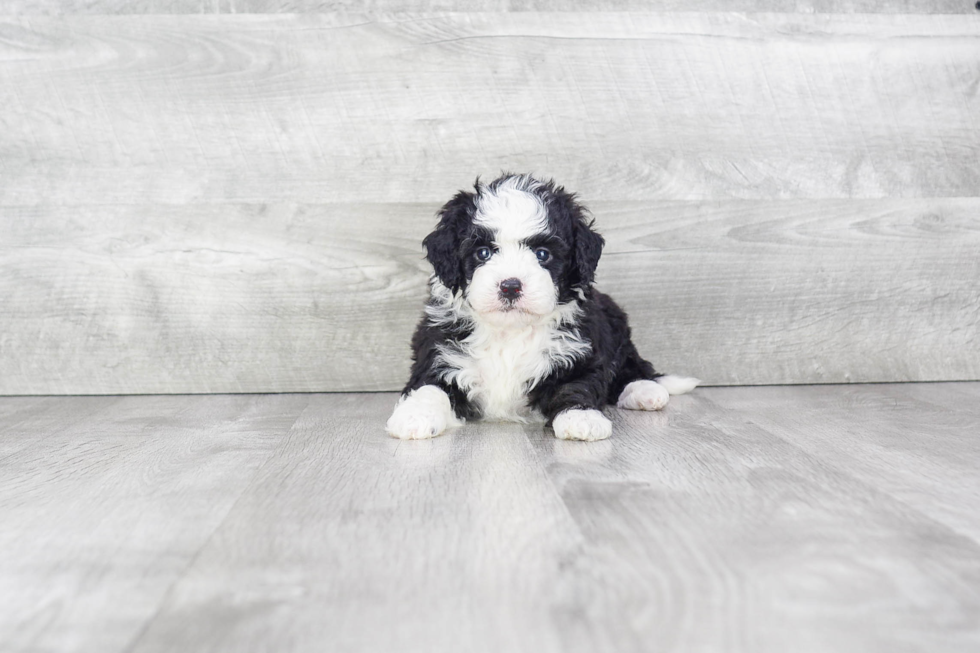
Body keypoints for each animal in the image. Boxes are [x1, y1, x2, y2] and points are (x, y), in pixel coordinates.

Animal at [386, 172, 700, 444]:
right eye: (482, 253)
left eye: (543, 254)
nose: (510, 286)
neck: (509, 332)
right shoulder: (437, 353)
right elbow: (429, 387)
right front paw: (415, 416)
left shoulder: (579, 354)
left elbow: (575, 387)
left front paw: (581, 418)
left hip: (617, 329)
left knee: (632, 366)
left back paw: (645, 390)